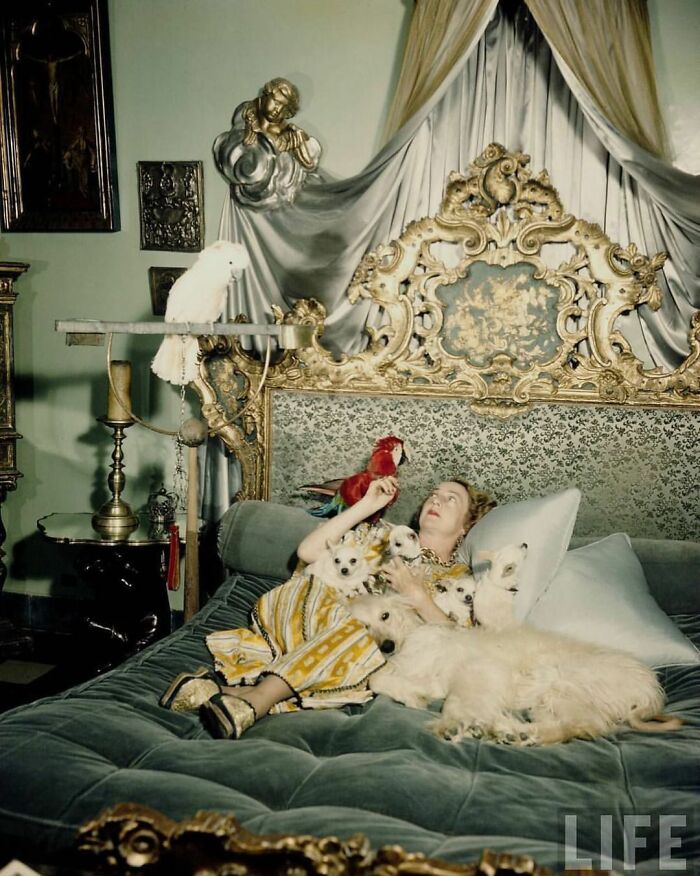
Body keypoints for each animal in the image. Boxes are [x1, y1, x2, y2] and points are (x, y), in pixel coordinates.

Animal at [352, 592, 680, 744]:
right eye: (362, 626)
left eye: (385, 615)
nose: (387, 647)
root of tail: (650, 689)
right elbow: (379, 680)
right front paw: (413, 696)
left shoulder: (476, 670)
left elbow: (455, 701)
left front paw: (451, 723)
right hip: (550, 698)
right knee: (568, 727)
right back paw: (512, 731)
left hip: (562, 683)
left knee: (581, 726)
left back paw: (509, 730)